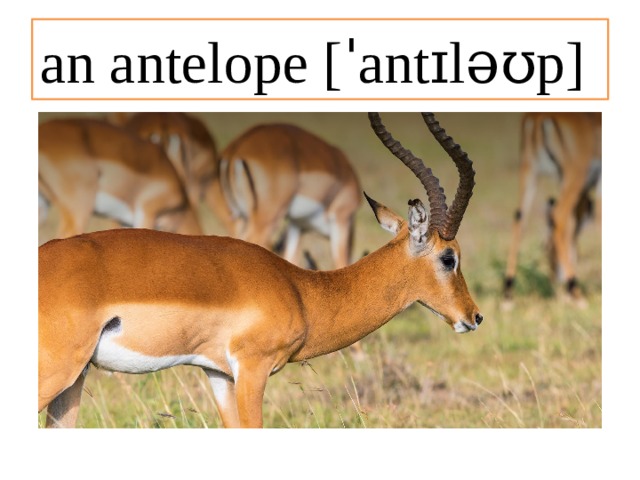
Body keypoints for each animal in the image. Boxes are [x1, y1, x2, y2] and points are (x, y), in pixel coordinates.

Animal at [209, 123, 362, 269]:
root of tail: (237, 147)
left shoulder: (296, 224)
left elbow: (291, 258)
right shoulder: (341, 219)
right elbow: (341, 262)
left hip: (239, 218)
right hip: (267, 219)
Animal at [503, 112, 601, 304]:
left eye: (546, 246)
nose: (555, 278)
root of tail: (539, 116)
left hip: (530, 171)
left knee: (520, 218)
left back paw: (508, 296)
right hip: (574, 175)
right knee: (559, 216)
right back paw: (575, 290)